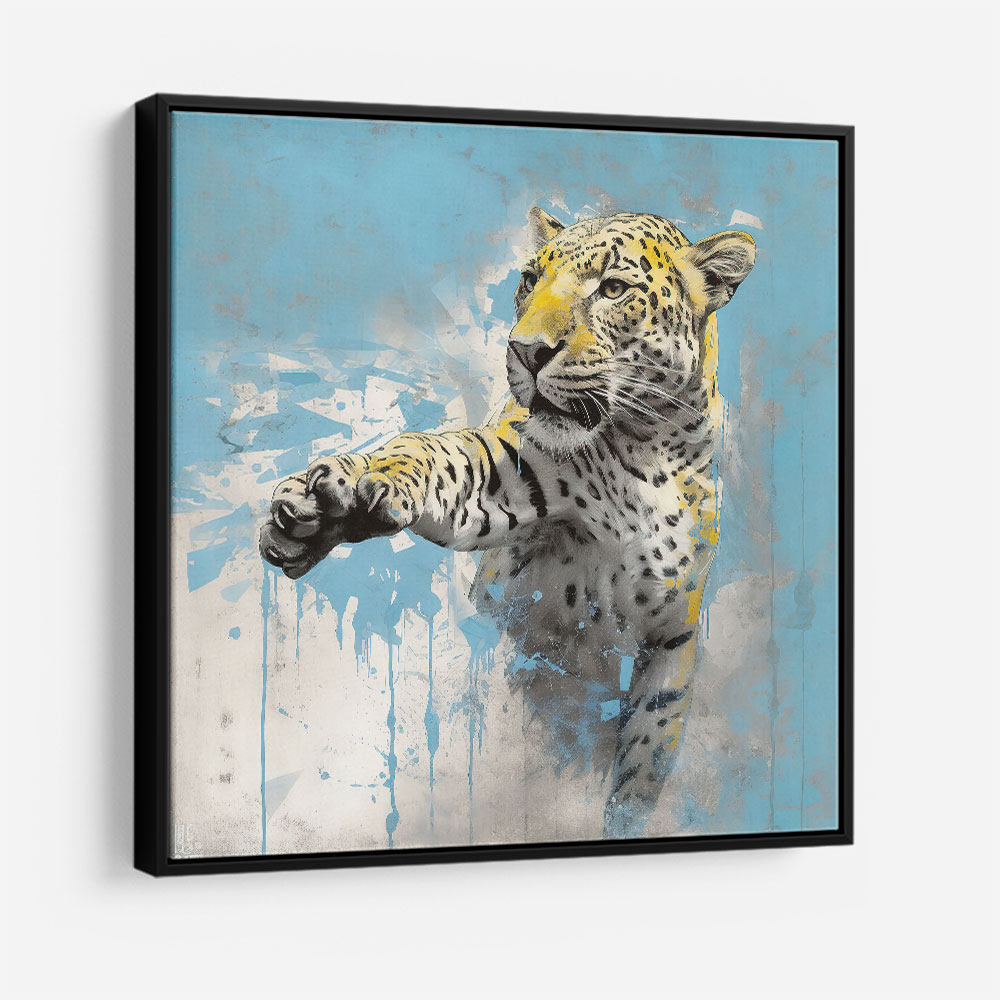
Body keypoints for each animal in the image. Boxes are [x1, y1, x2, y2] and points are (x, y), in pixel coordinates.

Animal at [259, 207, 756, 838]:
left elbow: (641, 763)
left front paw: (621, 819)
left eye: (612, 289)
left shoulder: (672, 640)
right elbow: (438, 458)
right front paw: (337, 496)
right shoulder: (507, 479)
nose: (525, 350)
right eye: (529, 280)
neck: (646, 455)